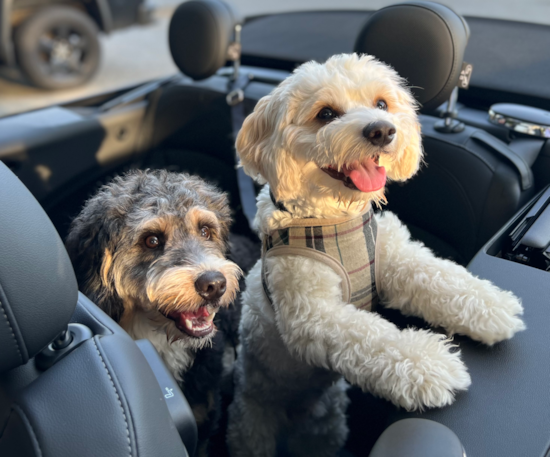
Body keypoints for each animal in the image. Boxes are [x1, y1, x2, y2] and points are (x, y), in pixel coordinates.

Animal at [227, 53, 528, 456]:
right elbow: (371, 336)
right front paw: (428, 364)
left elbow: (436, 275)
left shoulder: (391, 259)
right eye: (325, 113)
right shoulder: (311, 312)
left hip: (326, 421)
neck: (335, 217)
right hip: (255, 420)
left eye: (382, 104)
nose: (382, 131)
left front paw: (489, 305)